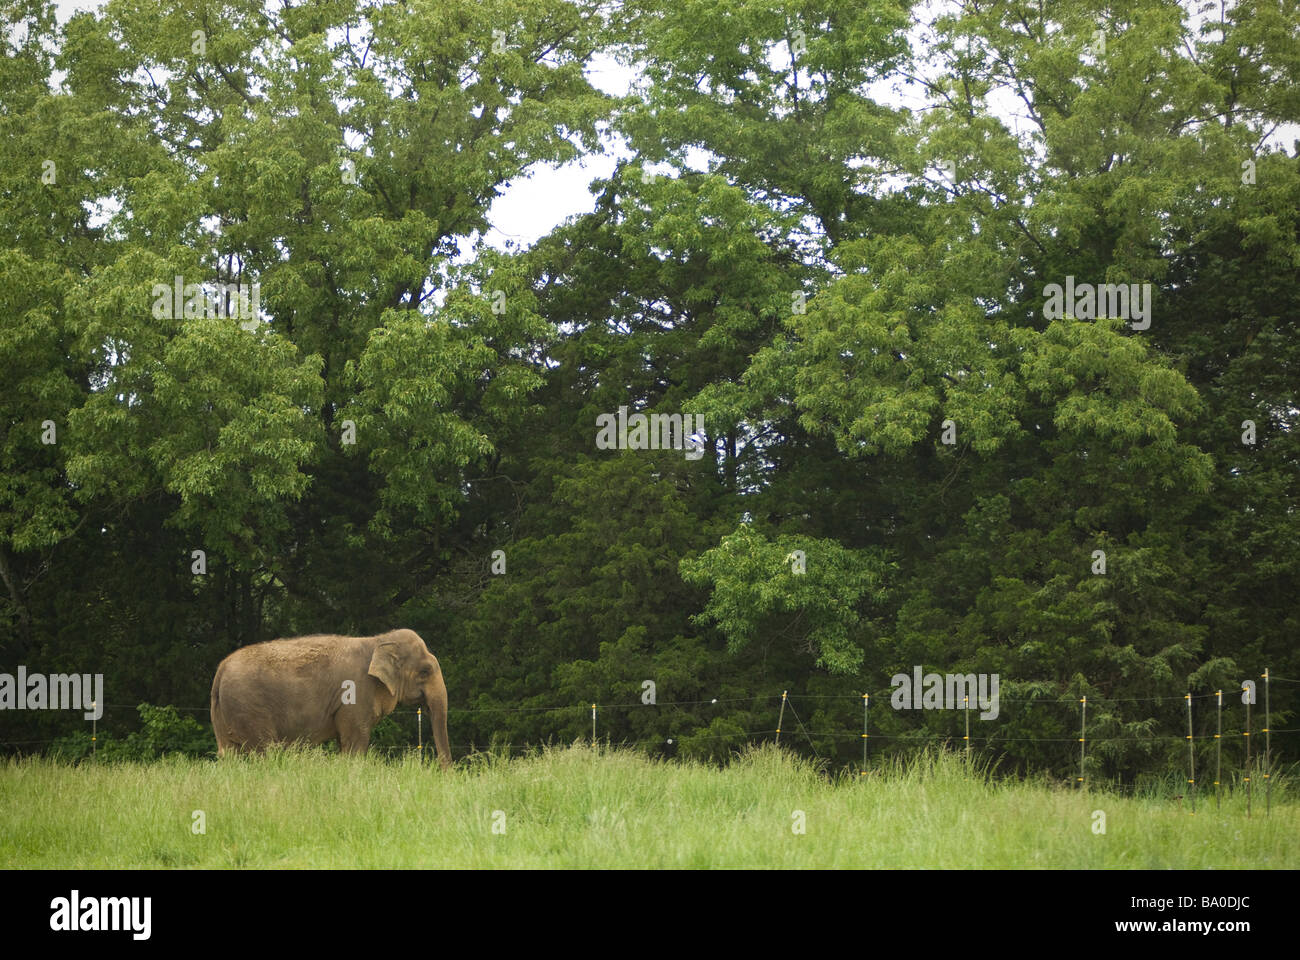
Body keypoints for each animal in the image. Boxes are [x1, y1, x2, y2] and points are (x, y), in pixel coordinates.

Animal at [209, 624, 452, 764]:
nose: (444, 775)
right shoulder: (356, 693)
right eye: (425, 671)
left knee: (229, 754)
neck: (378, 641)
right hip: (249, 707)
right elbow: (354, 742)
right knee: (265, 751)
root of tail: (220, 669)